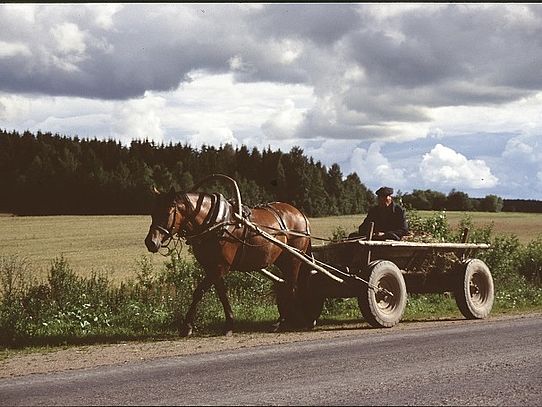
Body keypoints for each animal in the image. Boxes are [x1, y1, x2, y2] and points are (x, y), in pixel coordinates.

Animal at [143, 178, 314, 338]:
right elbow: (222, 294)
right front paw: (228, 324)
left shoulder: (220, 267)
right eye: (152, 213)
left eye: (167, 213)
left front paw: (187, 326)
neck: (216, 222)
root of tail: (300, 215)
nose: (151, 242)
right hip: (283, 260)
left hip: (294, 259)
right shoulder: (212, 267)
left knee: (291, 287)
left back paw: (280, 322)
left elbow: (199, 291)